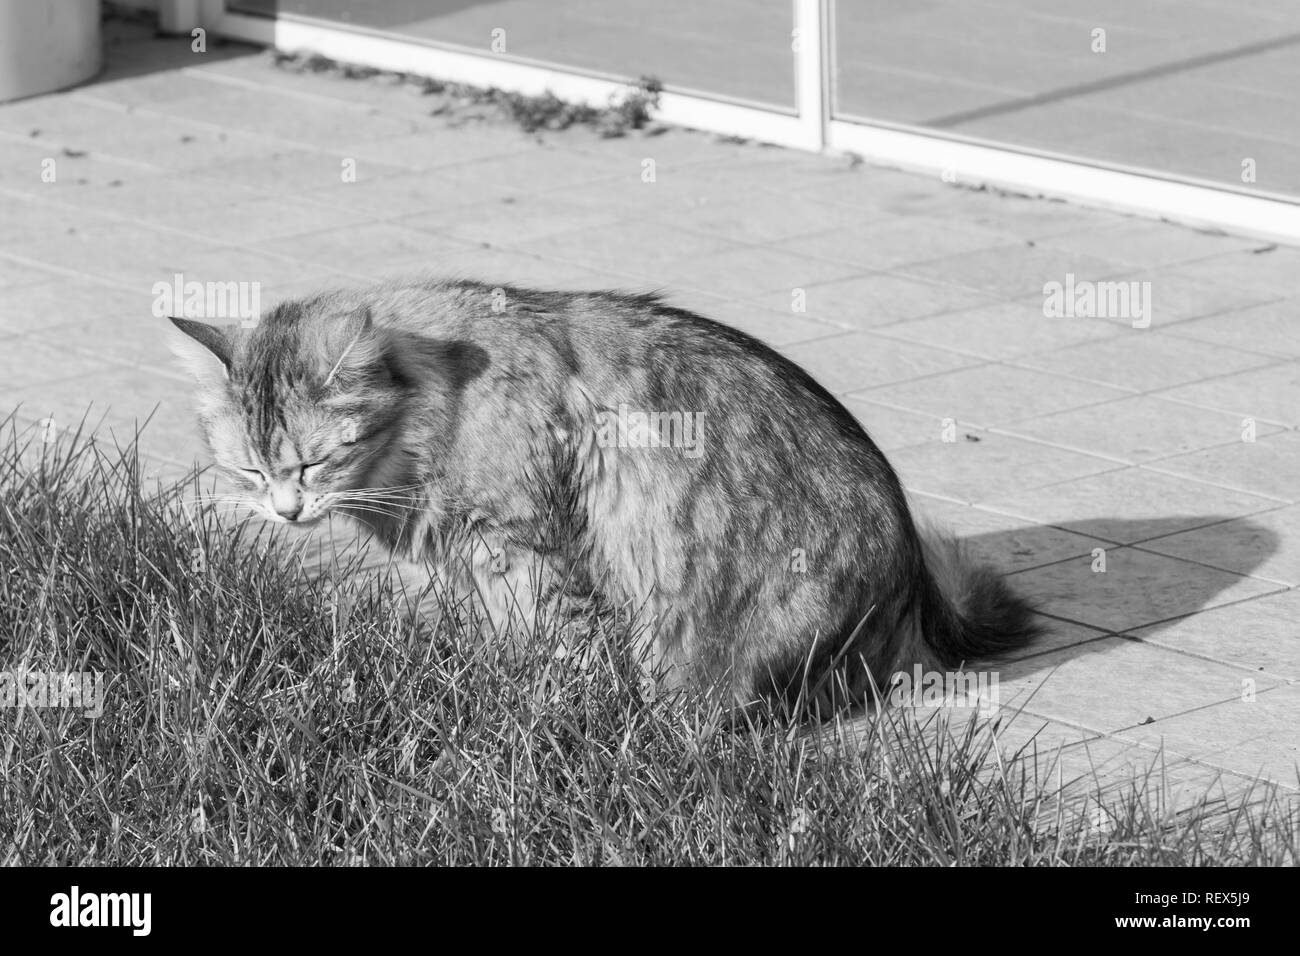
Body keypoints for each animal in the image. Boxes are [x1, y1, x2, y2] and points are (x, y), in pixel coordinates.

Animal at [172, 277, 1040, 712]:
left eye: (317, 463)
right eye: (252, 472)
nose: (285, 511)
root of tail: (914, 579)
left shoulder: (533, 548)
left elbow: (565, 649)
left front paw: (554, 716)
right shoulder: (480, 564)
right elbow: (504, 642)